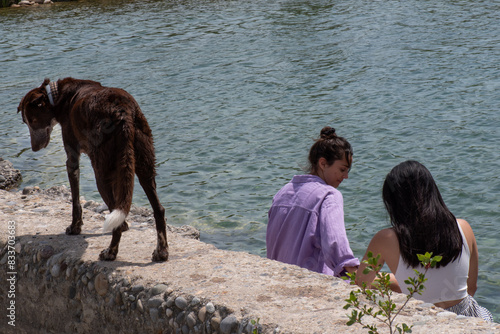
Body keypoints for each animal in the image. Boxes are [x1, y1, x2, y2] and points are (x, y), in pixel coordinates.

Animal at [18, 77, 170, 262]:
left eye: (31, 121)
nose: (34, 148)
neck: (58, 96)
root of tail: (122, 112)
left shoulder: (72, 160)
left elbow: (75, 200)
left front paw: (75, 227)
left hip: (102, 174)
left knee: (117, 216)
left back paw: (110, 252)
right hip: (144, 167)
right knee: (158, 209)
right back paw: (161, 251)